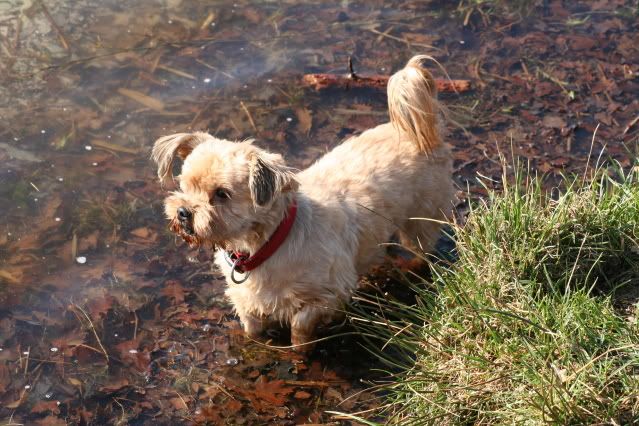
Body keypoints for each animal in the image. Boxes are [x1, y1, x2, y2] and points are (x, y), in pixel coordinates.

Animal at [153, 55, 458, 350]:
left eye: (221, 194)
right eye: (184, 184)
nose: (183, 212)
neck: (264, 245)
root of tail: (415, 133)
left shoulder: (326, 295)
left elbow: (300, 330)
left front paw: (300, 351)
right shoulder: (247, 302)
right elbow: (253, 332)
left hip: (422, 219)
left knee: (421, 250)